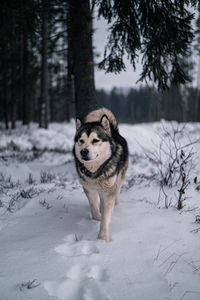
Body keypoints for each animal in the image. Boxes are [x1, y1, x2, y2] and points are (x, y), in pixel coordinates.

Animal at [72, 108, 129, 241]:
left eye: (95, 140)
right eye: (81, 140)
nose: (83, 152)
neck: (95, 171)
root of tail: (113, 131)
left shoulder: (108, 191)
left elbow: (106, 217)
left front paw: (102, 238)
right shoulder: (88, 187)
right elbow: (93, 204)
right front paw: (96, 218)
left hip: (119, 179)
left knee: (117, 191)